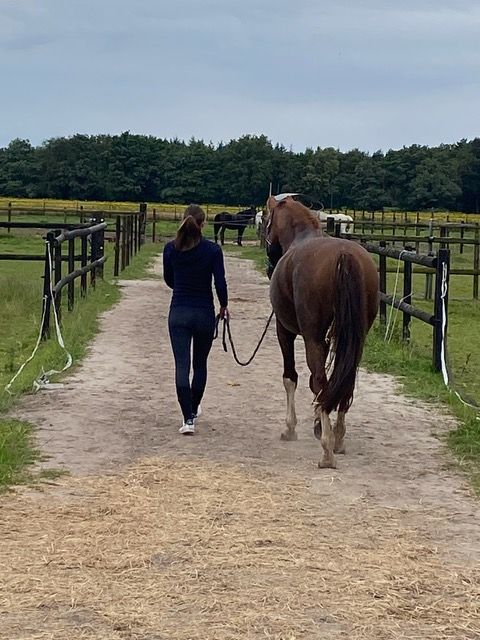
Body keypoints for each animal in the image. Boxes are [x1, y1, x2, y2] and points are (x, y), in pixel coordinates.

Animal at [265, 195, 379, 469]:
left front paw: (291, 428)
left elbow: (292, 378)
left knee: (320, 380)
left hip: (312, 338)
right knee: (344, 382)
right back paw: (338, 438)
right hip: (355, 340)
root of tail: (344, 254)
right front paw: (318, 423)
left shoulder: (285, 331)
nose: (269, 265)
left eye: (266, 220)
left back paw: (327, 450)